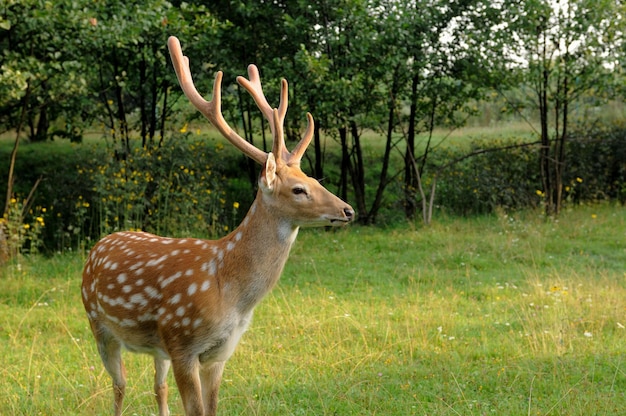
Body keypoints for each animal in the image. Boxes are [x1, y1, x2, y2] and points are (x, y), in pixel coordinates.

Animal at [79, 36, 352, 416]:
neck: (231, 293)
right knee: (119, 385)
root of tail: (98, 246)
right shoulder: (183, 343)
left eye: (314, 179)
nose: (347, 210)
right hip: (98, 323)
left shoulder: (218, 353)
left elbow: (211, 408)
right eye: (299, 189)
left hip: (156, 346)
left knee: (158, 386)